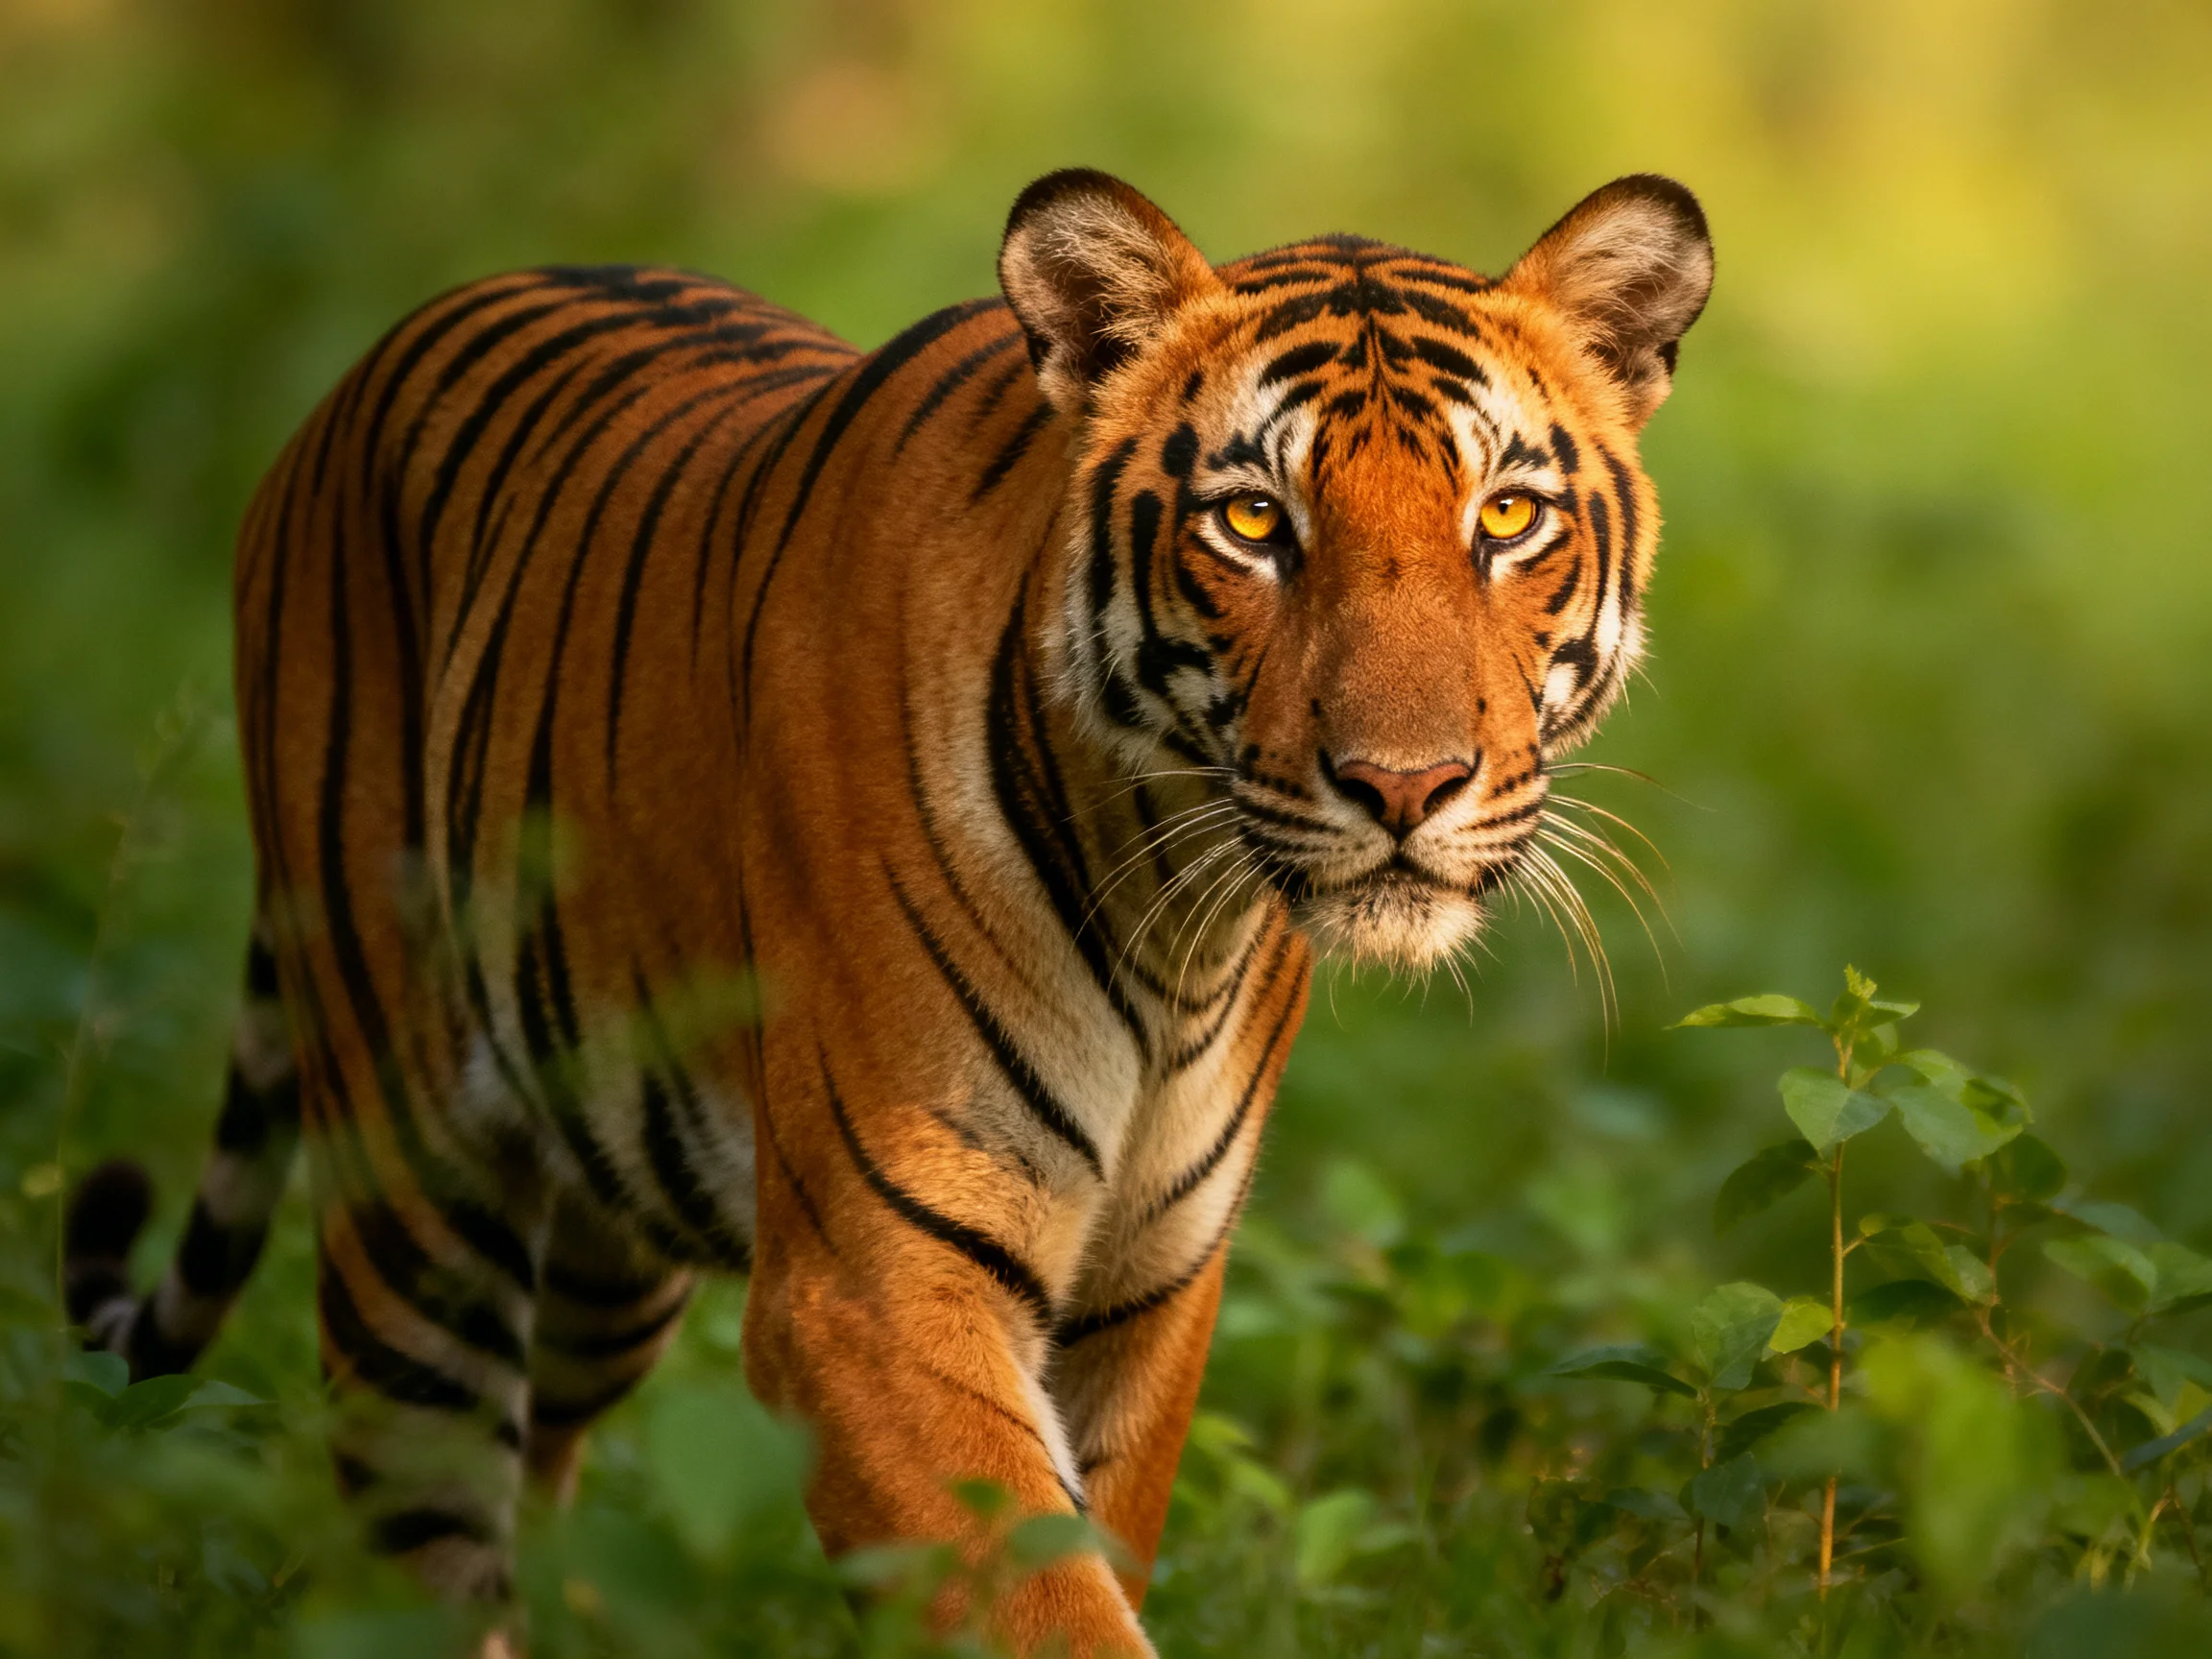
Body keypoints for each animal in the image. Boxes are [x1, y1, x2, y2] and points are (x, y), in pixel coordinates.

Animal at [63, 168, 1710, 1654]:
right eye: (1253, 521)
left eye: (1509, 515)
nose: (1405, 784)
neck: (1173, 916)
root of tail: (355, 377)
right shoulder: (874, 1286)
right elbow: (1042, 1607)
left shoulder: (1150, 1293)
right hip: (417, 1202)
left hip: (604, 1251)